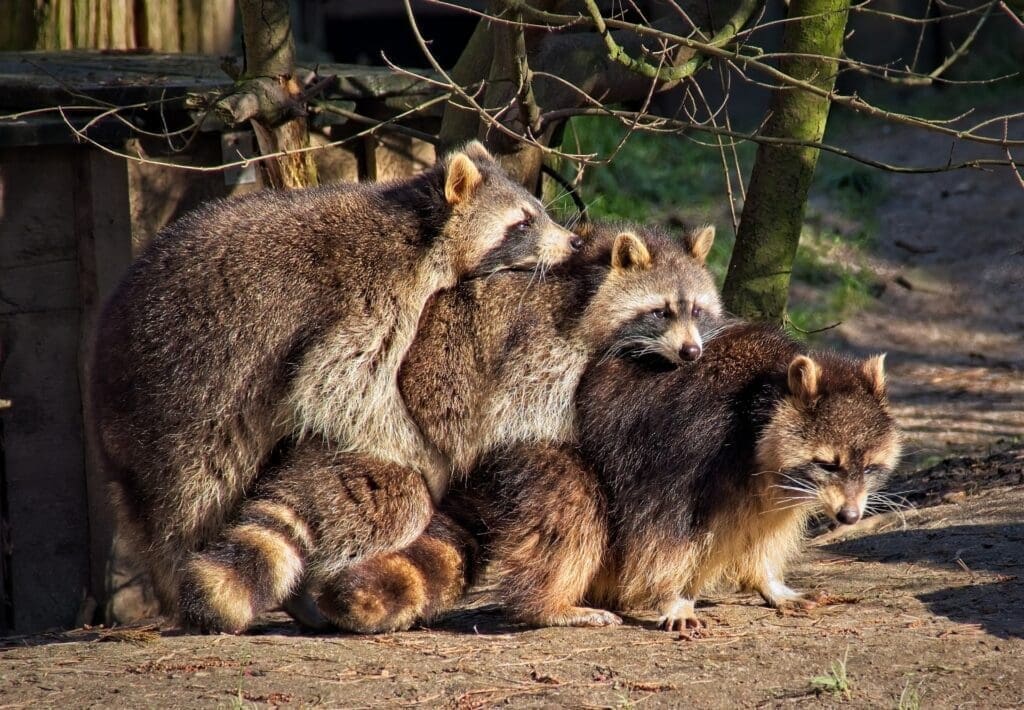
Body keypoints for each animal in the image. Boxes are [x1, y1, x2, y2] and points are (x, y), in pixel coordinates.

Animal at [89, 141, 577, 617]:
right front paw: (420, 450)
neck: (421, 228)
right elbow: (342, 389)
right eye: (523, 221)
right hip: (179, 414)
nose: (574, 241)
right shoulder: (369, 298)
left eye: (539, 209)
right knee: (195, 497)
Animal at [178, 222, 723, 633]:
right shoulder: (543, 342)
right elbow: (531, 405)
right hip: (390, 444)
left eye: (697, 310)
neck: (596, 273)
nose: (691, 352)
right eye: (660, 311)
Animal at [338, 322, 901, 631]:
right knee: (573, 513)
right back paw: (552, 604)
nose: (850, 516)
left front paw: (770, 581)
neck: (766, 403)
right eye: (828, 463)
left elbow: (764, 530)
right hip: (540, 454)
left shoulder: (774, 487)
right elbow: (661, 530)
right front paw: (672, 594)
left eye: (869, 467)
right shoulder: (690, 446)